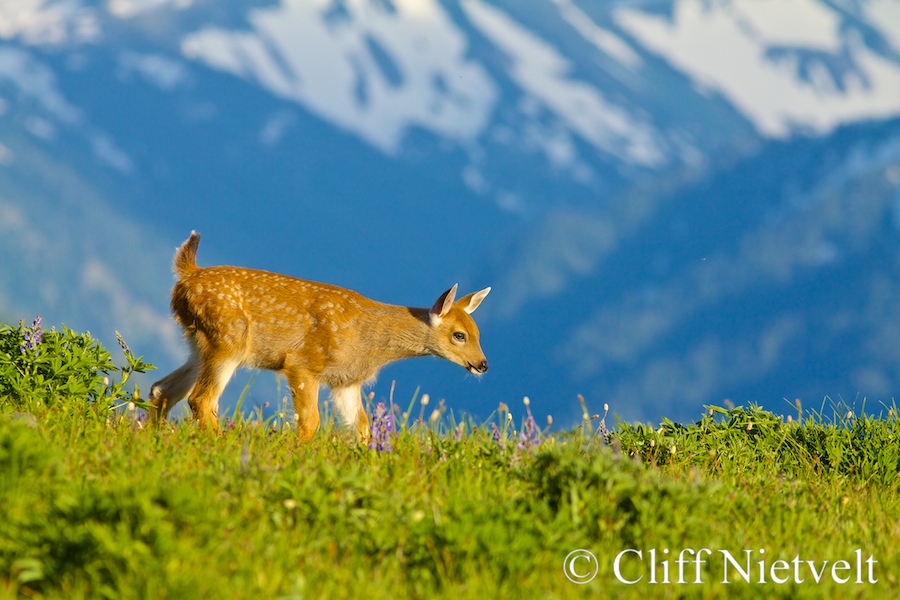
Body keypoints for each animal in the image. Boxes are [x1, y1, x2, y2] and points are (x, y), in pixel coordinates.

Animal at [148, 231, 491, 444]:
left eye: (478, 333)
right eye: (459, 335)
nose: (483, 364)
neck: (369, 342)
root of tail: (188, 275)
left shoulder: (345, 381)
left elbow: (362, 427)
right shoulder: (303, 363)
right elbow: (310, 421)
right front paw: (295, 453)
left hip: (198, 344)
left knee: (162, 389)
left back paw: (156, 437)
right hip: (228, 339)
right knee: (201, 399)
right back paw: (221, 442)